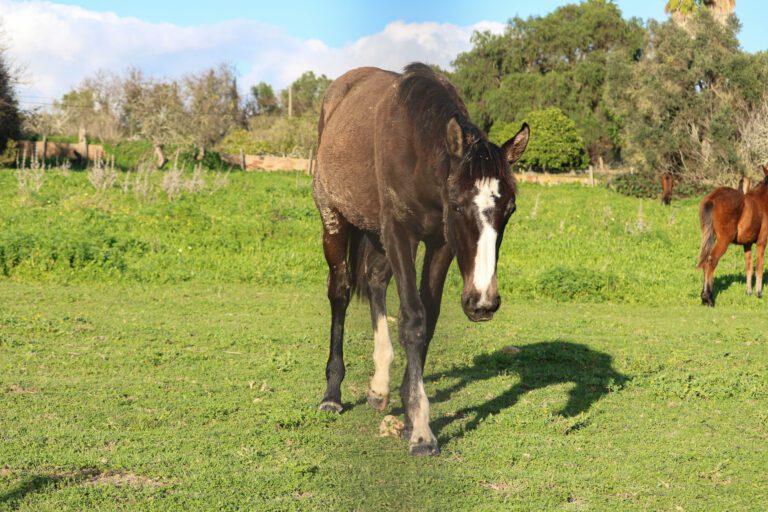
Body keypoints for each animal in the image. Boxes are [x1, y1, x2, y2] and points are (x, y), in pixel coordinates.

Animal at [312, 63, 529, 455]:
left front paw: (410, 411)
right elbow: (412, 319)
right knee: (340, 291)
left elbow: (428, 318)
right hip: (333, 218)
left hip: (376, 233)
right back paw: (332, 393)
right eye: (457, 205)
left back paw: (379, 386)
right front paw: (423, 432)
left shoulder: (440, 243)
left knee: (375, 282)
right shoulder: (400, 233)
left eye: (510, 209)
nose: (483, 302)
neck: (416, 152)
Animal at [698, 164, 768, 306]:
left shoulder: (747, 244)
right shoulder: (762, 242)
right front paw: (758, 293)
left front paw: (748, 292)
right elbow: (759, 266)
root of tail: (712, 198)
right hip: (723, 240)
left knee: (705, 260)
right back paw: (708, 297)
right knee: (711, 261)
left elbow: (748, 266)